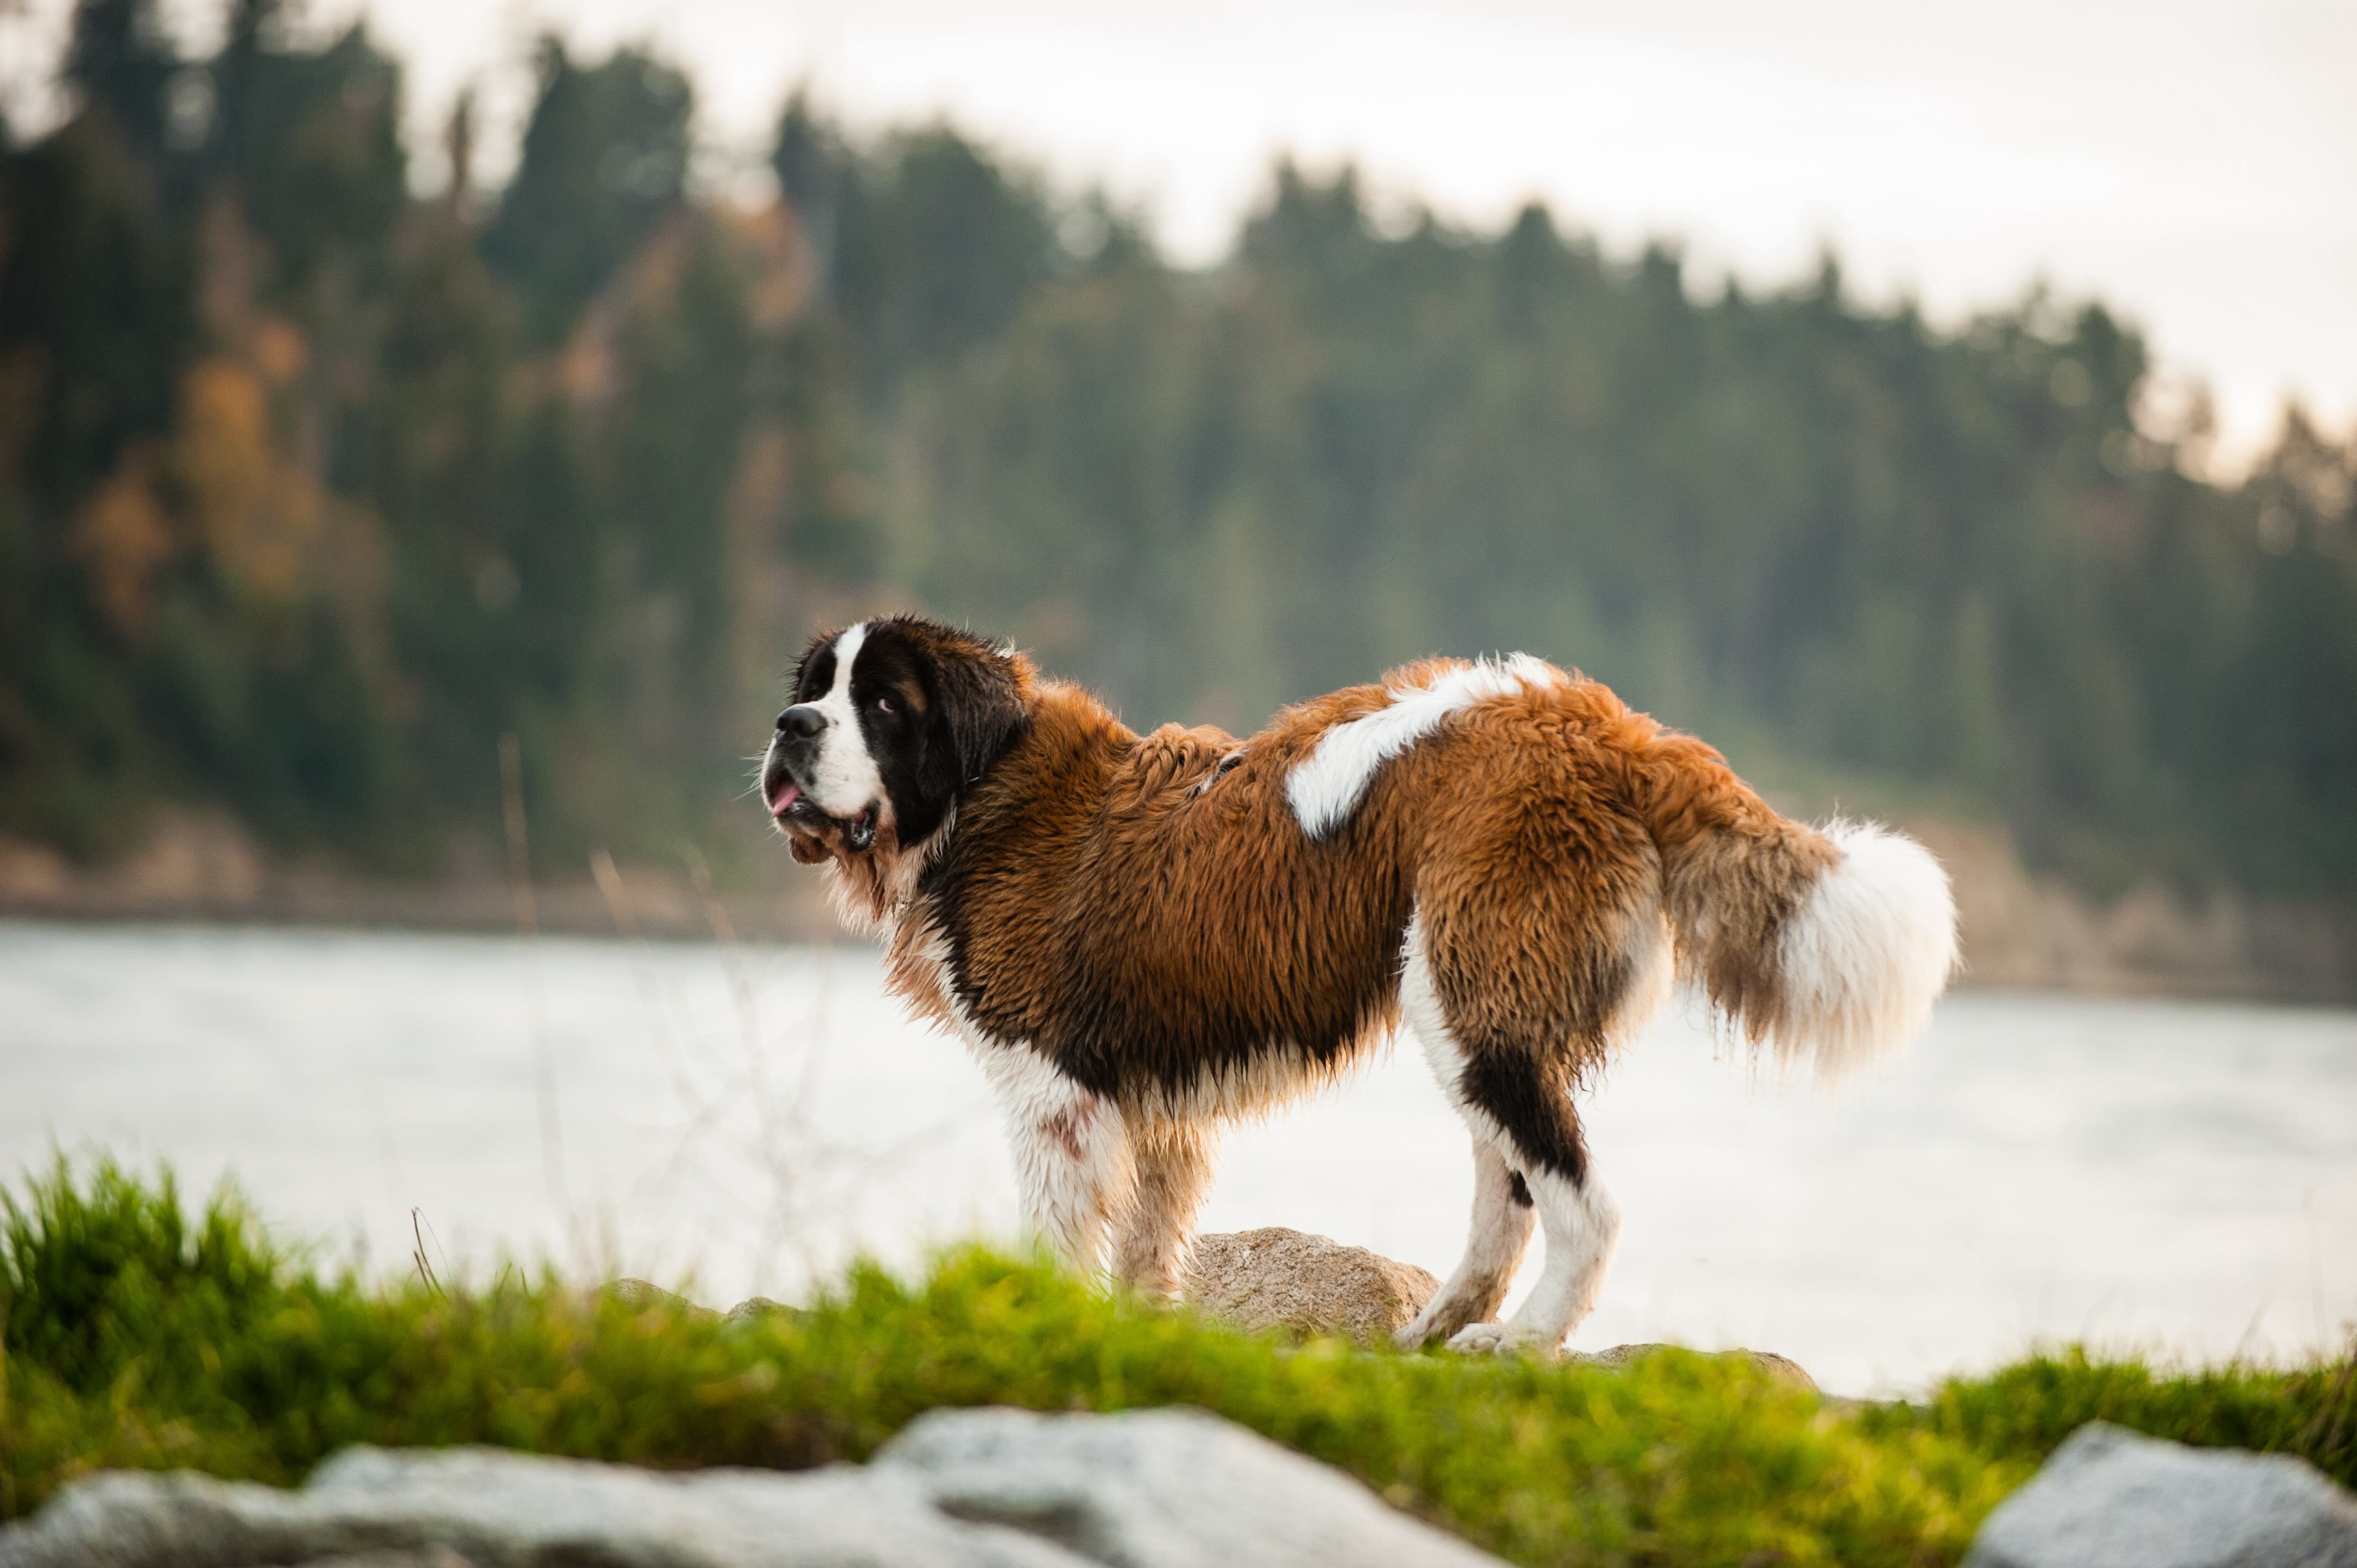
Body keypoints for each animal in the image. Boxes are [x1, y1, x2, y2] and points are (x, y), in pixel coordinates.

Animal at [763, 617, 1960, 1348]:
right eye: (815, 687)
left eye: (883, 703)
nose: (789, 726)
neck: (984, 787)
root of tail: (1600, 722)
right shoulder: (1154, 1113)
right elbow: (1147, 1250)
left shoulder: (1054, 1098)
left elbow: (1055, 1244)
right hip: (1474, 1015)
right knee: (1507, 1193)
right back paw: (1433, 1331)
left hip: (1471, 1003)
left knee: (1584, 1204)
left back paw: (1520, 1342)